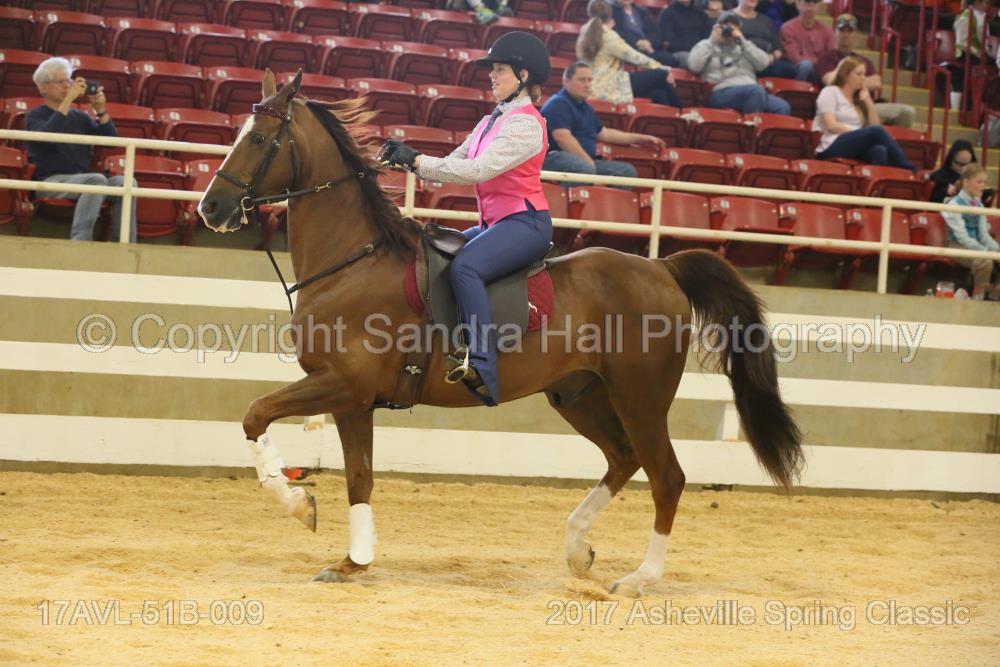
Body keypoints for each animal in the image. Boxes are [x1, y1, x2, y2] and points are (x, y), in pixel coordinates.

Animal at [197, 70, 803, 596]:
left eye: (260, 138)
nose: (211, 207)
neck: (354, 261)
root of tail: (662, 267)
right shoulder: (354, 400)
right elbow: (359, 478)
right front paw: (354, 561)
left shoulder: (342, 385)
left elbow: (254, 415)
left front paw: (299, 505)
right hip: (579, 395)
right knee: (623, 458)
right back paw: (577, 548)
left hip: (641, 397)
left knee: (666, 476)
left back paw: (638, 579)